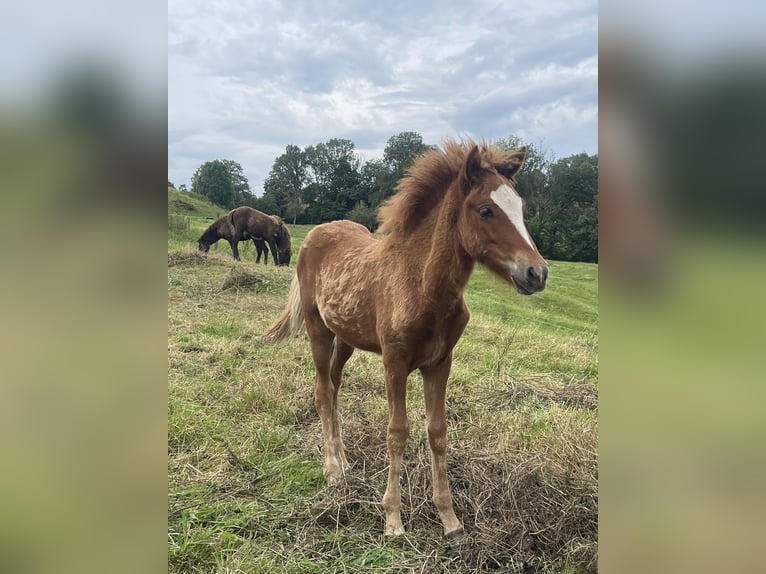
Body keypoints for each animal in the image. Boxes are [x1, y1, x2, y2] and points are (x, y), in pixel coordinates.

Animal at [260, 140, 548, 540]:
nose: (537, 272)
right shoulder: (394, 362)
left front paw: (449, 519)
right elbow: (397, 431)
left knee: (333, 387)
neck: (423, 285)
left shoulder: (440, 363)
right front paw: (393, 519)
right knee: (322, 391)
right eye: (486, 210)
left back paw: (345, 461)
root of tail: (315, 234)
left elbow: (437, 432)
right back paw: (332, 469)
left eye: (521, 208)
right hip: (319, 331)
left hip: (345, 339)